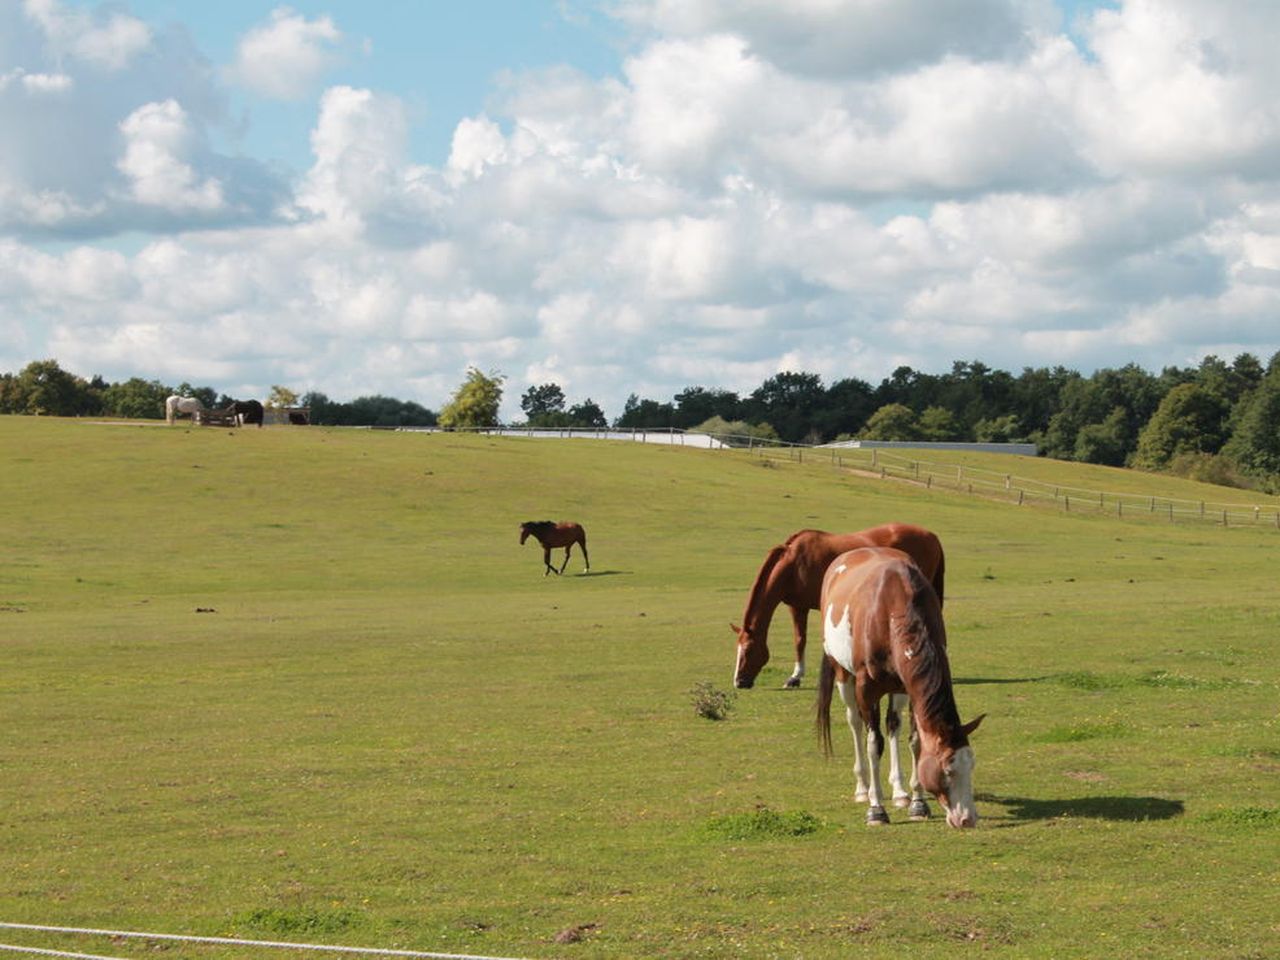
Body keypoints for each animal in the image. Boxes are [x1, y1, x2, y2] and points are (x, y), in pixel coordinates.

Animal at [732, 527, 942, 691]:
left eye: (748, 650)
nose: (739, 682)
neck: (793, 565)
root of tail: (932, 536)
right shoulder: (797, 607)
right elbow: (799, 640)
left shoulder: (804, 608)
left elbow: (805, 641)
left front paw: (796, 677)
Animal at [814, 552, 983, 829]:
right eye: (948, 770)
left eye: (971, 765)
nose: (968, 818)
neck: (891, 610)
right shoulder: (866, 689)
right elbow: (874, 743)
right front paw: (876, 809)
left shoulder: (908, 687)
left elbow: (915, 742)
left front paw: (917, 803)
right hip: (843, 675)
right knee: (855, 722)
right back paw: (863, 788)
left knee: (893, 724)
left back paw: (900, 792)